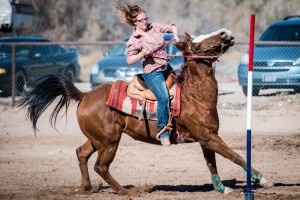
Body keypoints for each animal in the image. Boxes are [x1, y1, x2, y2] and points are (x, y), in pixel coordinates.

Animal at [17, 29, 274, 195]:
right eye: (197, 45)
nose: (224, 33)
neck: (193, 95)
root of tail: (84, 95)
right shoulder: (209, 136)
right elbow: (236, 156)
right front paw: (264, 179)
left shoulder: (206, 137)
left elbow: (212, 163)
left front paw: (222, 188)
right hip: (109, 141)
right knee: (101, 166)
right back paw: (127, 191)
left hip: (98, 138)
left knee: (82, 153)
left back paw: (84, 187)